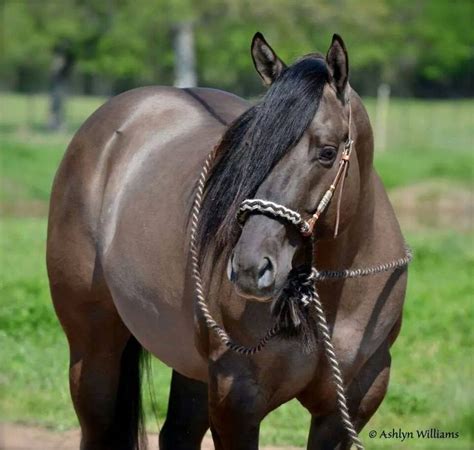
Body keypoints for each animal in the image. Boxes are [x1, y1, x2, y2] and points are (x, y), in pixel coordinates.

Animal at [47, 32, 408, 450]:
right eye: (248, 150)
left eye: (328, 153)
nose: (251, 267)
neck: (328, 297)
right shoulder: (236, 402)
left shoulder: (346, 406)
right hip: (93, 348)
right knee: (98, 422)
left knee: (178, 432)